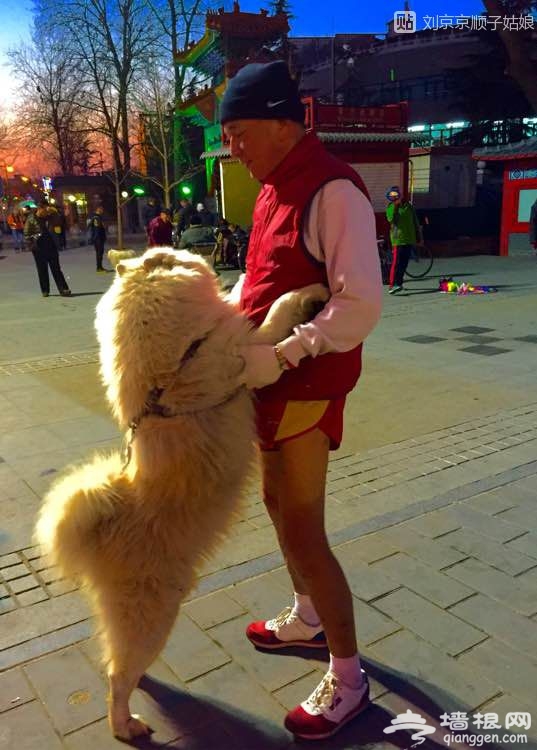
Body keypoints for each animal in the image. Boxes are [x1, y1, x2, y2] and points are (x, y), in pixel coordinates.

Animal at [35, 250, 328, 744]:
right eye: (170, 254)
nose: (198, 252)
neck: (173, 363)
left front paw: (242, 280)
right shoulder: (245, 351)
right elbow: (274, 317)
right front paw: (307, 294)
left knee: (118, 664)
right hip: (153, 616)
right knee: (116, 679)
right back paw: (127, 727)